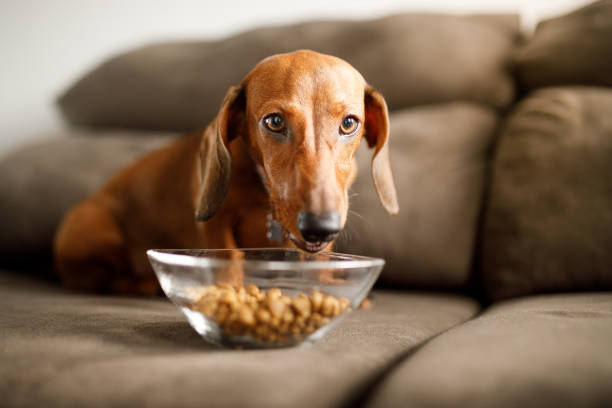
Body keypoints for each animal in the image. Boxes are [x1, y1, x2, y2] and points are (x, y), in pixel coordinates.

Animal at [52, 50, 400, 294]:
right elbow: (229, 258)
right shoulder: (215, 224)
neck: (264, 196)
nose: (320, 227)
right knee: (103, 279)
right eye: (275, 122)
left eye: (349, 123)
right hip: (96, 228)